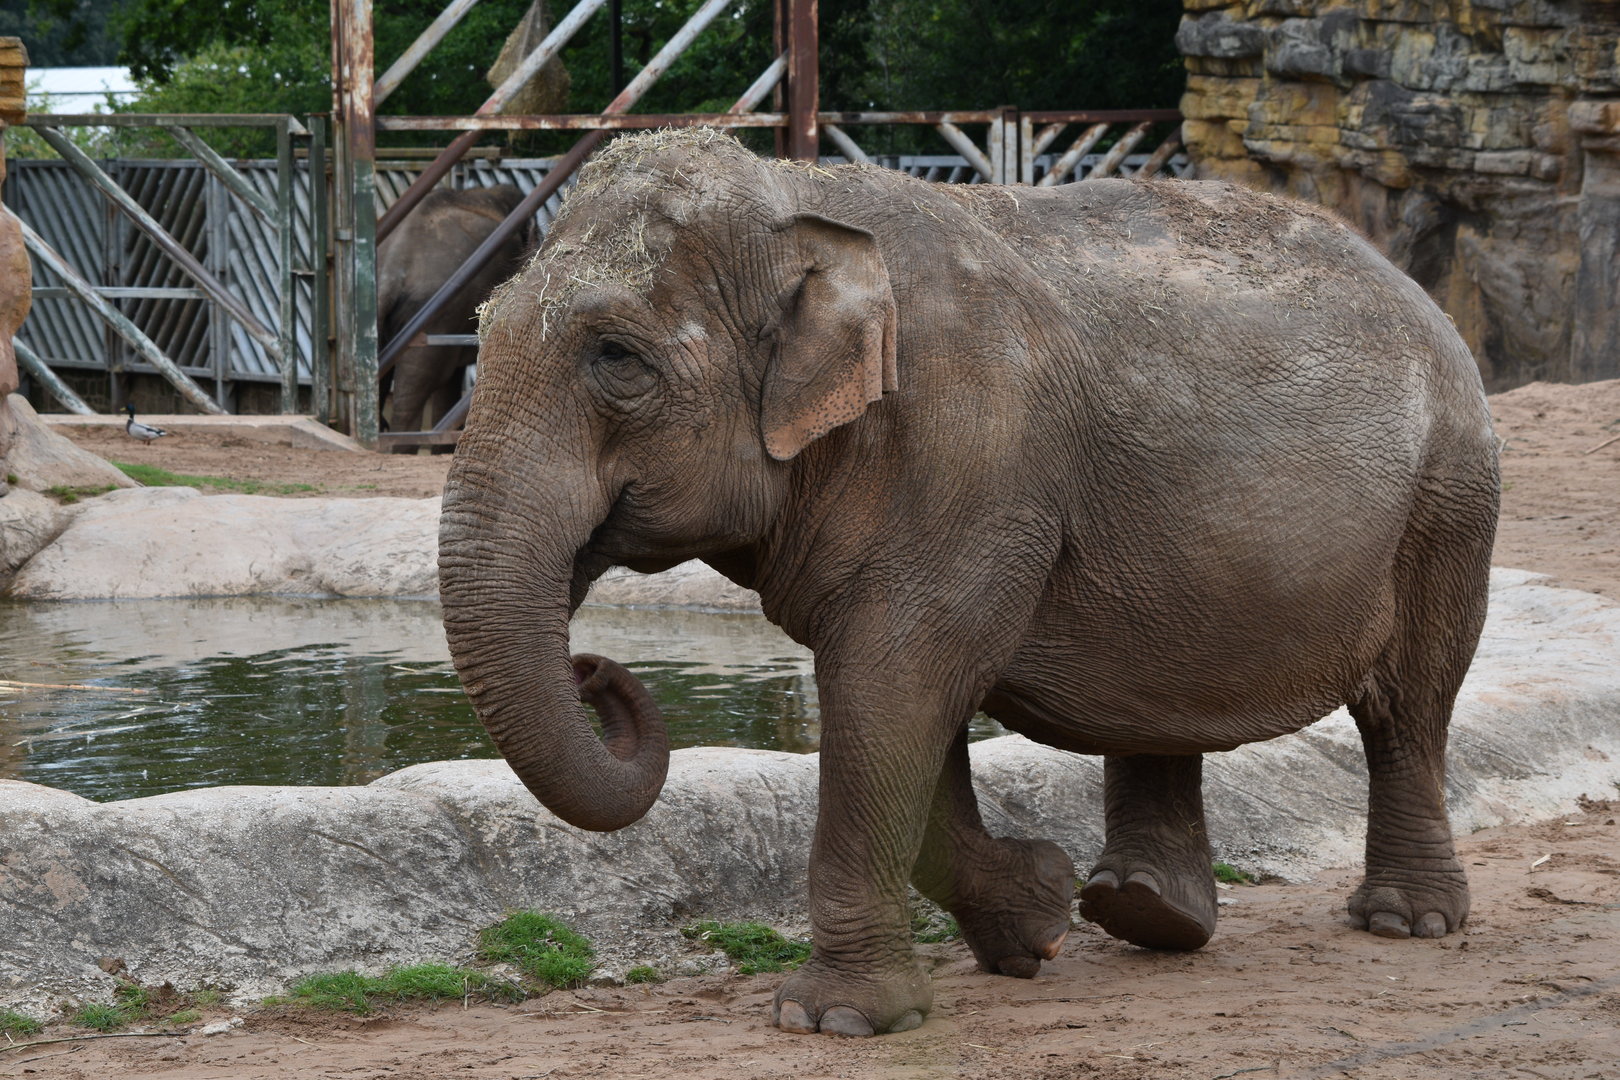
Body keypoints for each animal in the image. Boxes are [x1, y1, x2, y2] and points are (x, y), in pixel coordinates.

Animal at [438, 130, 1500, 1036]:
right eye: (480, 336)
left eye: (616, 356)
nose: (593, 670)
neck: (801, 202)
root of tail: (1413, 286)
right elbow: (904, 708)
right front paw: (1036, 921)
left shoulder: (968, 458)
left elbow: (888, 688)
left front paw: (837, 1021)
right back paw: (1144, 914)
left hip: (1448, 498)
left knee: (1410, 704)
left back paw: (1403, 923)